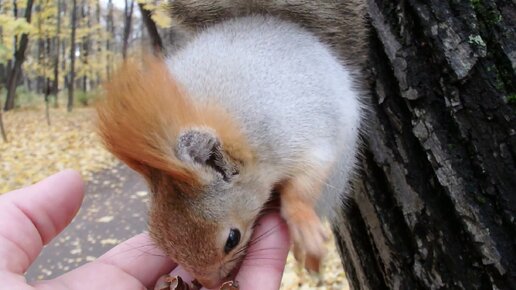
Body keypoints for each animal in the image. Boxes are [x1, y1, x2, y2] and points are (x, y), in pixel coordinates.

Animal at [94, 0, 364, 288]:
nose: (211, 283)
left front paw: (305, 230)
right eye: (159, 239)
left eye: (232, 239)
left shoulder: (302, 138)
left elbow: (304, 185)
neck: (245, 132)